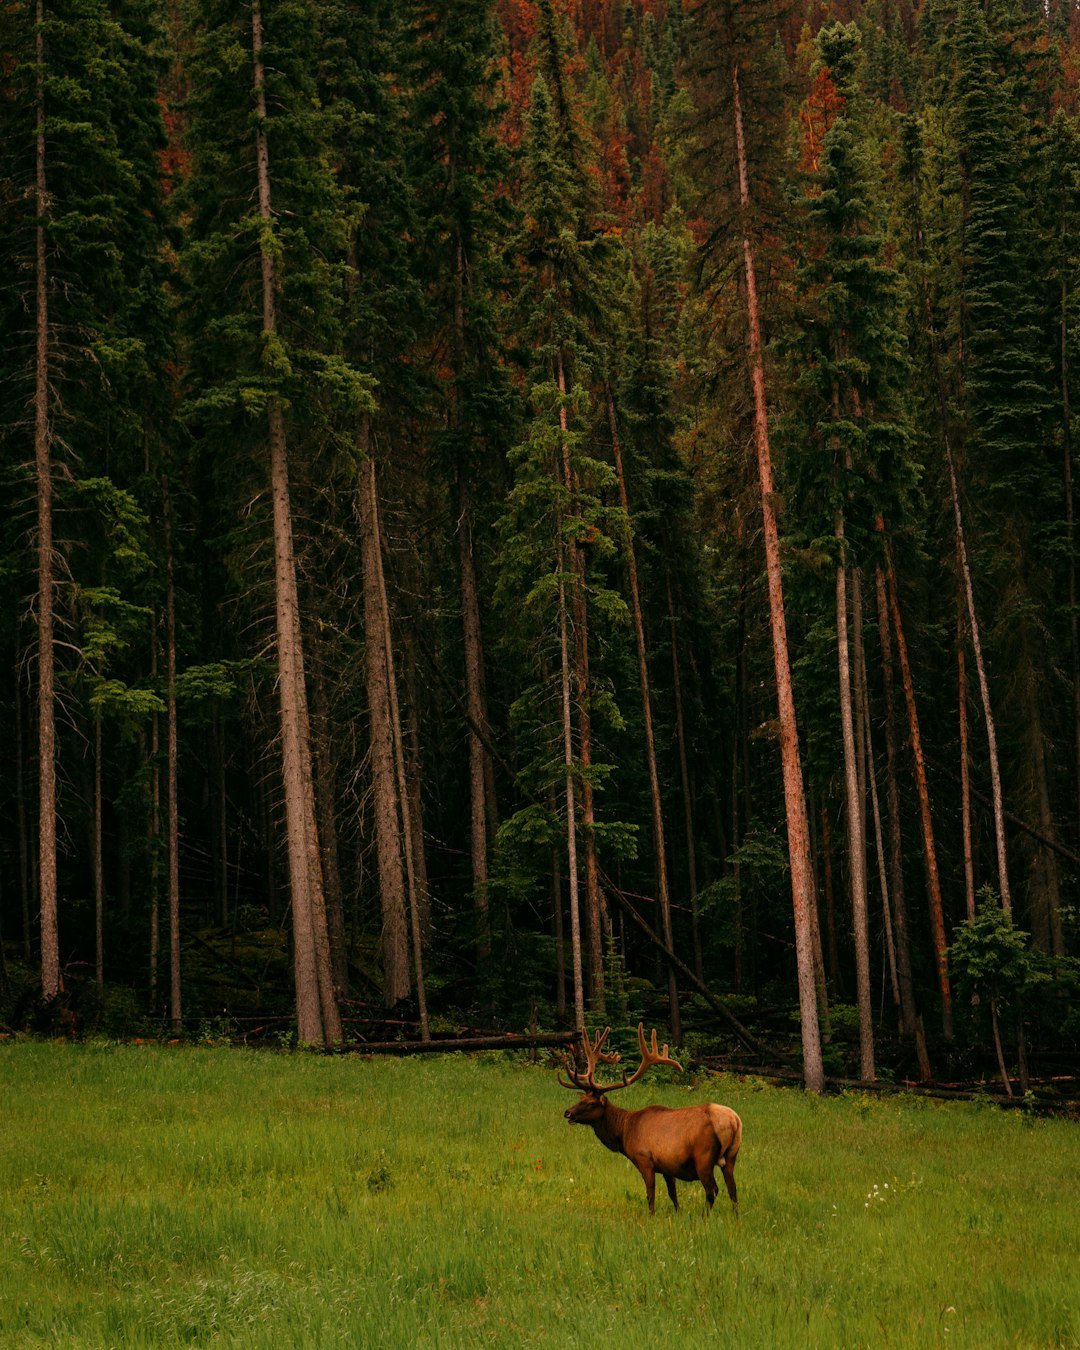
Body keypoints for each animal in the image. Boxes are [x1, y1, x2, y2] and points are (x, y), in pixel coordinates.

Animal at [559, 1024, 742, 1215]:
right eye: (581, 1098)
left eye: (591, 1103)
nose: (568, 1113)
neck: (624, 1131)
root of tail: (733, 1121)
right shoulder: (667, 1166)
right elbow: (672, 1193)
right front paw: (677, 1213)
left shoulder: (644, 1159)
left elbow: (650, 1194)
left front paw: (651, 1216)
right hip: (731, 1156)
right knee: (733, 1190)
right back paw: (736, 1217)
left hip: (703, 1157)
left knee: (712, 1190)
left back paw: (704, 1216)